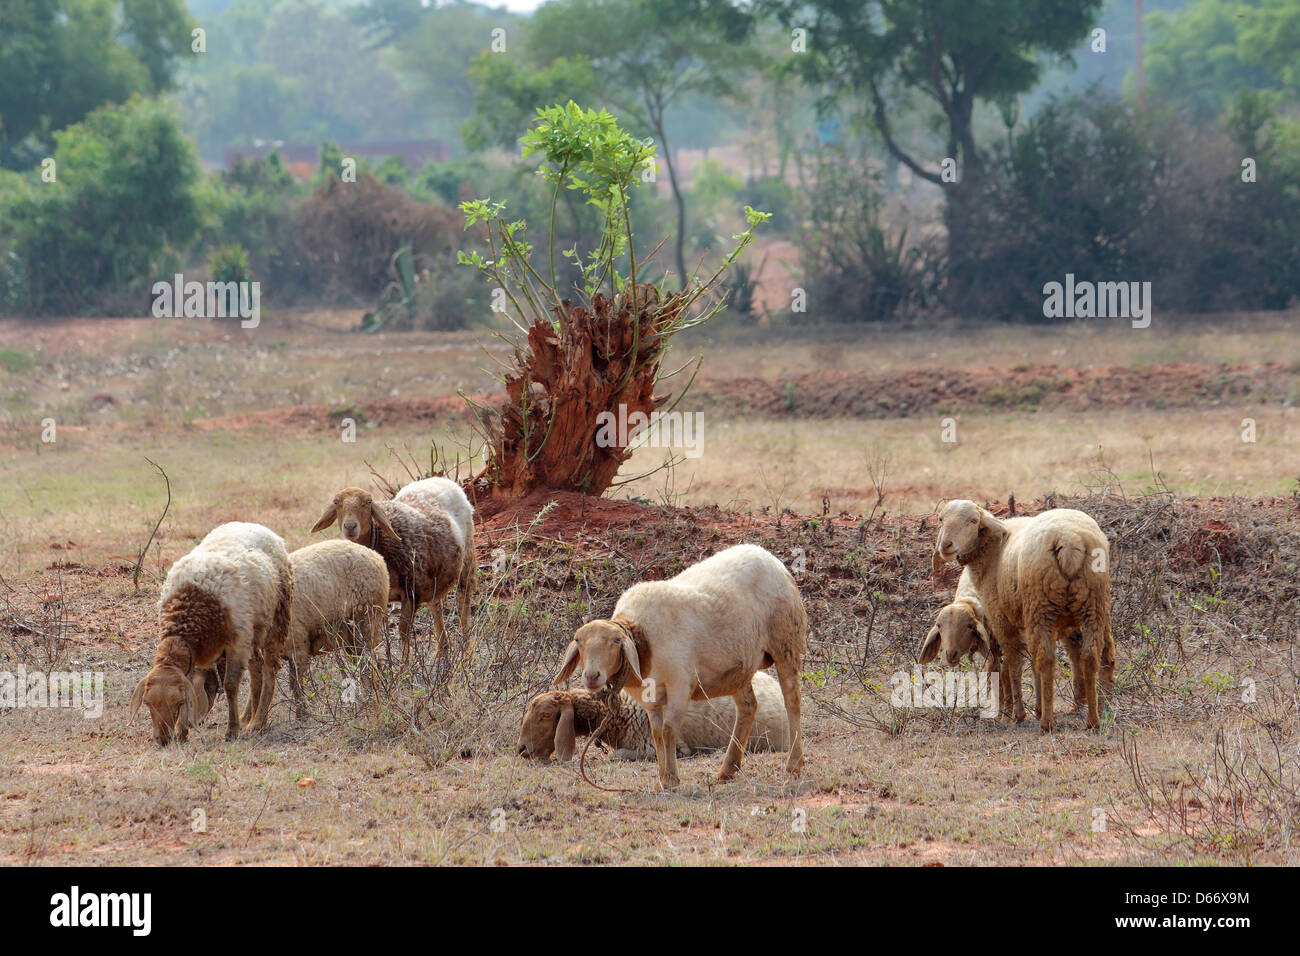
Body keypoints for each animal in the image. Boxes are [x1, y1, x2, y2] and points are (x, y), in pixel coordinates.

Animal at [131, 522, 292, 749]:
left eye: (179, 702)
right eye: (147, 703)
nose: (162, 740)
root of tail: (255, 525)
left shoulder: (237, 644)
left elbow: (230, 686)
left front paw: (231, 731)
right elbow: (191, 683)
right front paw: (181, 733)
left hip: (277, 618)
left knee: (269, 669)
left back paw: (257, 722)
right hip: (253, 632)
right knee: (257, 669)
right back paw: (249, 717)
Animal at [309, 486, 462, 658]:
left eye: (368, 502)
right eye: (336, 502)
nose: (350, 527)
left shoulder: (411, 592)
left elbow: (403, 632)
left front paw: (405, 663)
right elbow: (377, 636)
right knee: (436, 606)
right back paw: (443, 650)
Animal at [556, 541, 806, 796]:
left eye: (616, 642)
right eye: (579, 642)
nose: (591, 676)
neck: (641, 641)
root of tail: (769, 557)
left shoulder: (680, 685)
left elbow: (668, 731)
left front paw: (671, 780)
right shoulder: (650, 699)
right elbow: (657, 734)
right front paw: (662, 779)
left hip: (786, 641)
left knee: (792, 700)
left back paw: (794, 765)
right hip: (738, 667)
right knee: (748, 707)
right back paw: (728, 770)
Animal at [935, 502, 1118, 733]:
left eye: (973, 521)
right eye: (941, 519)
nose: (946, 545)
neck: (991, 552)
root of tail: (1070, 541)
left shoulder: (1001, 620)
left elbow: (1012, 664)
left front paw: (1017, 714)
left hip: (1041, 607)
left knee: (1046, 660)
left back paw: (1047, 723)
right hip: (1095, 606)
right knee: (1095, 656)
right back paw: (1099, 715)